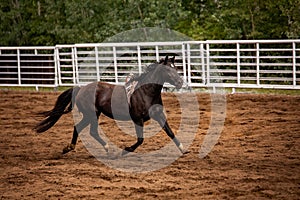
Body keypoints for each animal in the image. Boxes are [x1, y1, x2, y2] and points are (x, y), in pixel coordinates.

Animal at [34, 55, 186, 155]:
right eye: (168, 70)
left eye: (176, 68)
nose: (180, 83)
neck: (145, 92)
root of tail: (80, 88)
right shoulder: (138, 119)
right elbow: (140, 139)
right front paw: (126, 150)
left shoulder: (158, 115)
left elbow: (170, 132)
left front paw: (183, 149)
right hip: (92, 114)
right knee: (92, 131)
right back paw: (107, 147)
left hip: (91, 115)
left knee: (79, 127)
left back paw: (69, 148)